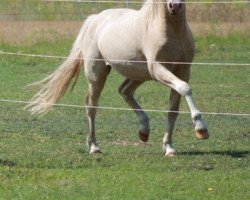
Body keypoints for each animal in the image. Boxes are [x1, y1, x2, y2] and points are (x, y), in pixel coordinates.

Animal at [25, 0, 209, 156]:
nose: (175, 6)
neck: (170, 31)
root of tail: (94, 19)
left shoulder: (182, 71)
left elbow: (173, 108)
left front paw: (169, 147)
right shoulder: (158, 68)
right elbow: (185, 88)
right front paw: (201, 129)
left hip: (139, 73)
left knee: (124, 91)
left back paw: (144, 131)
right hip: (98, 75)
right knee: (92, 106)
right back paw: (94, 146)